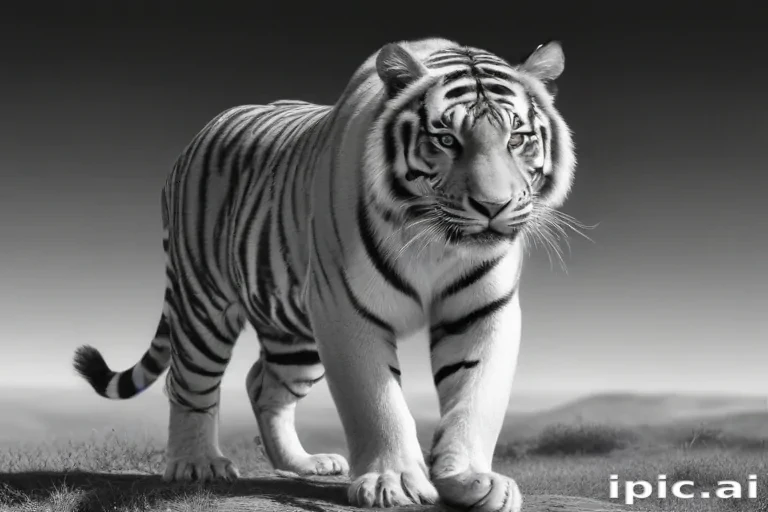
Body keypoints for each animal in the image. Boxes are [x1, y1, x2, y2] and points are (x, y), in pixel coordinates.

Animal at [73, 37, 575, 511]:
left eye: (516, 139)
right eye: (447, 140)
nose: (494, 207)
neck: (436, 243)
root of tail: (209, 126)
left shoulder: (484, 310)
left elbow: (477, 395)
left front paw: (471, 479)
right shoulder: (346, 307)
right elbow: (376, 401)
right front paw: (392, 480)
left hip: (297, 334)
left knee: (263, 385)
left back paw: (302, 464)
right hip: (204, 301)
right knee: (190, 382)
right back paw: (197, 464)